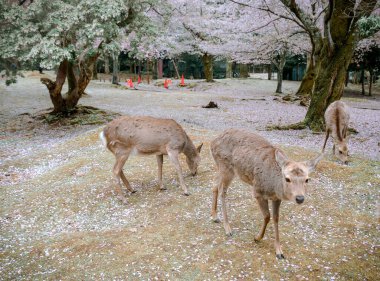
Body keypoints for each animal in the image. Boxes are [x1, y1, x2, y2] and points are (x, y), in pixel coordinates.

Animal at [209, 129, 322, 258]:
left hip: (221, 167)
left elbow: (276, 218)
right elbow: (267, 216)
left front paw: (279, 251)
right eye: (287, 178)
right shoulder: (257, 191)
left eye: (307, 179)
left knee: (215, 184)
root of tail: (212, 142)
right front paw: (257, 238)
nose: (300, 198)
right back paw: (227, 228)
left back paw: (215, 216)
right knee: (222, 191)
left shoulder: (276, 198)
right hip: (226, 167)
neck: (273, 187)